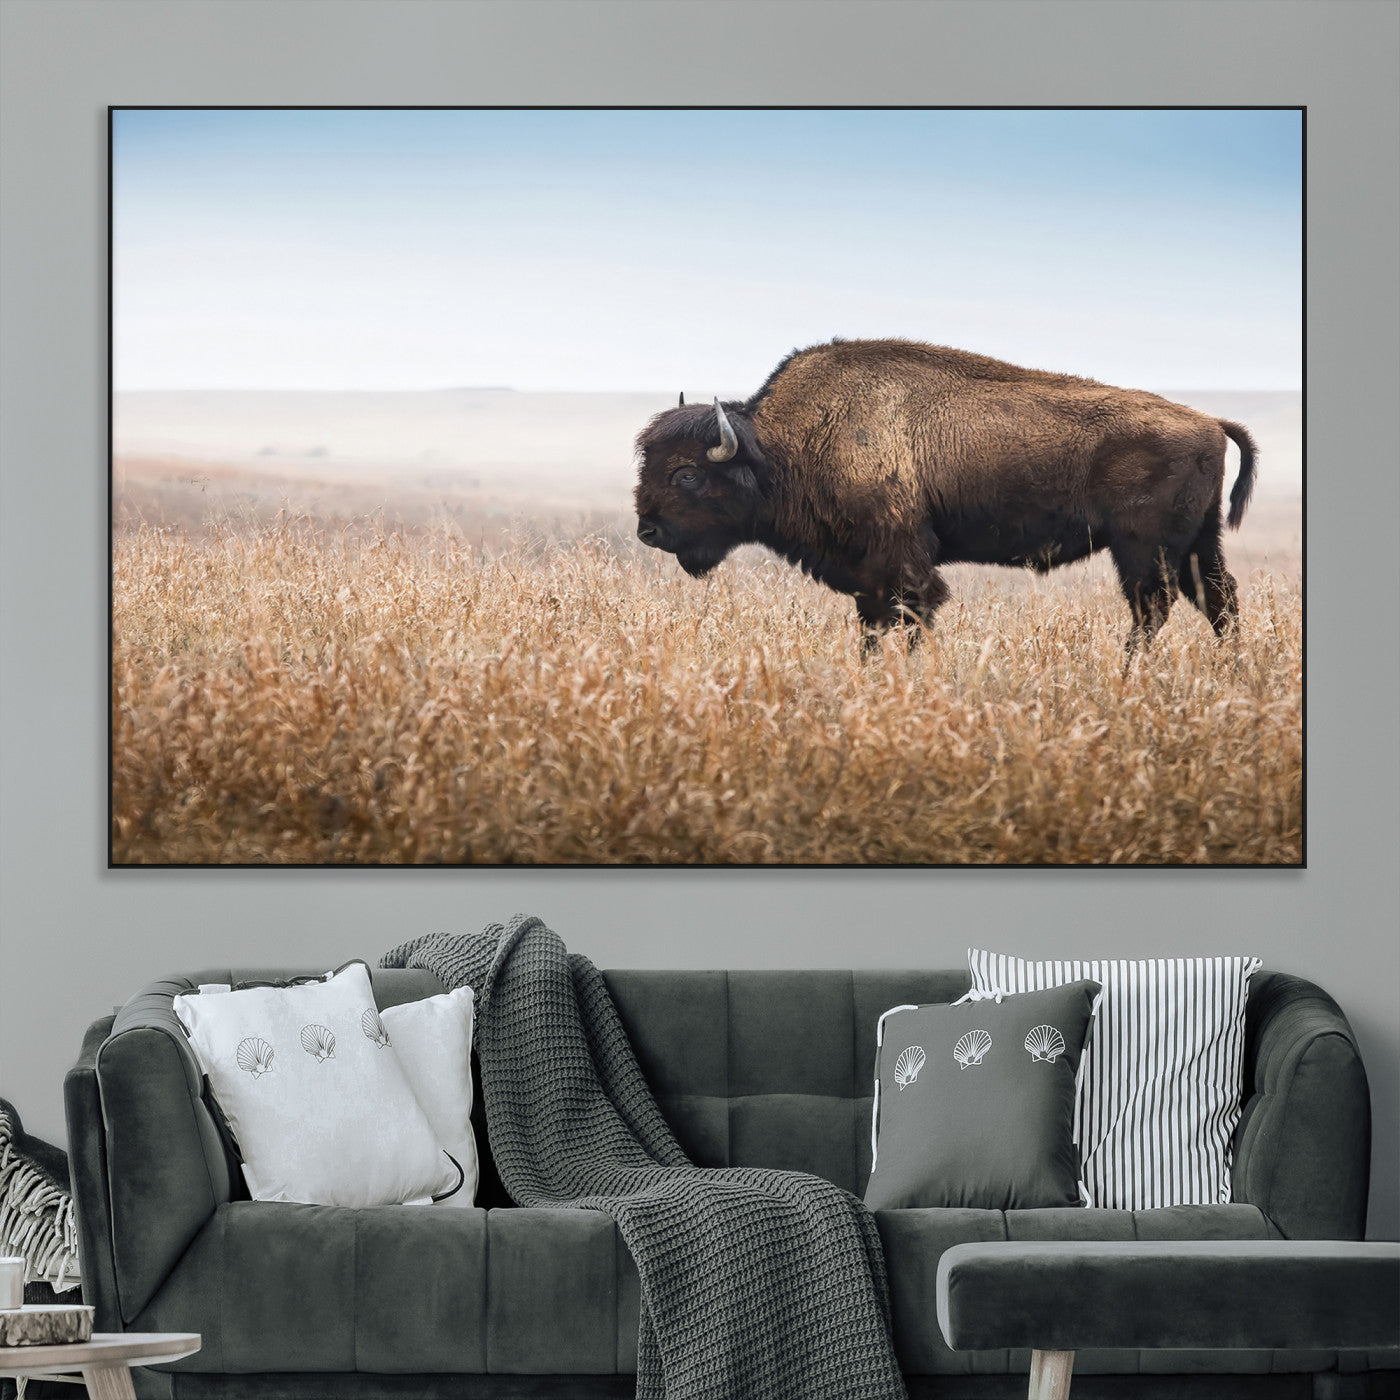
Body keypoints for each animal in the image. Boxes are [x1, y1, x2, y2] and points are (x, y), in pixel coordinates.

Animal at [633, 338, 1256, 654]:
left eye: (686, 474)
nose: (648, 531)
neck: (783, 446)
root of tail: (1208, 421)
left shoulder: (901, 564)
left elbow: (908, 617)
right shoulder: (868, 576)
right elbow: (873, 626)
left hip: (1142, 548)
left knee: (1154, 608)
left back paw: (1129, 674)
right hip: (1197, 543)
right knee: (1218, 601)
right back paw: (1230, 673)